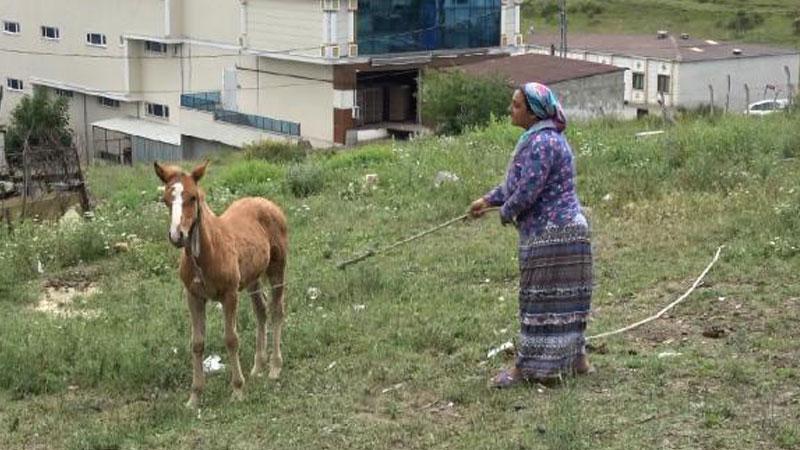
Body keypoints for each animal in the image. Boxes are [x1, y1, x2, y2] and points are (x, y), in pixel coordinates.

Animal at [153, 161, 288, 408]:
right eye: (165, 199)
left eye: (193, 197)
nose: (177, 235)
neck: (206, 253)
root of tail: (268, 202)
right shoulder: (194, 297)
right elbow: (197, 343)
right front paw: (195, 396)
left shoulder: (229, 294)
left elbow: (231, 339)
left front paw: (238, 390)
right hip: (252, 278)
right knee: (261, 311)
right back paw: (257, 367)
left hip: (277, 269)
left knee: (276, 310)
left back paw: (274, 367)